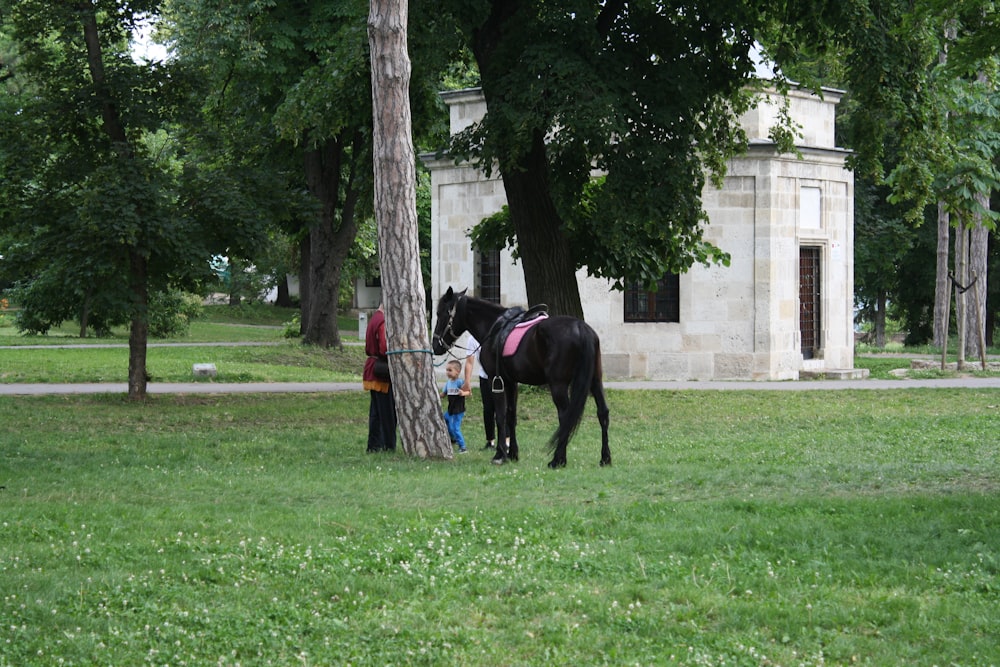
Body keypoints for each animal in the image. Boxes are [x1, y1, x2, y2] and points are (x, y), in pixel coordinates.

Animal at [430, 288, 608, 470]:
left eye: (440, 313)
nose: (436, 346)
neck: (494, 328)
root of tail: (581, 327)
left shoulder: (496, 381)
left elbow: (500, 416)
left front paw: (500, 454)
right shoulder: (511, 383)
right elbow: (511, 416)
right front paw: (513, 454)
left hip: (558, 385)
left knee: (566, 417)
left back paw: (558, 460)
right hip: (595, 381)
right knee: (602, 413)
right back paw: (605, 458)